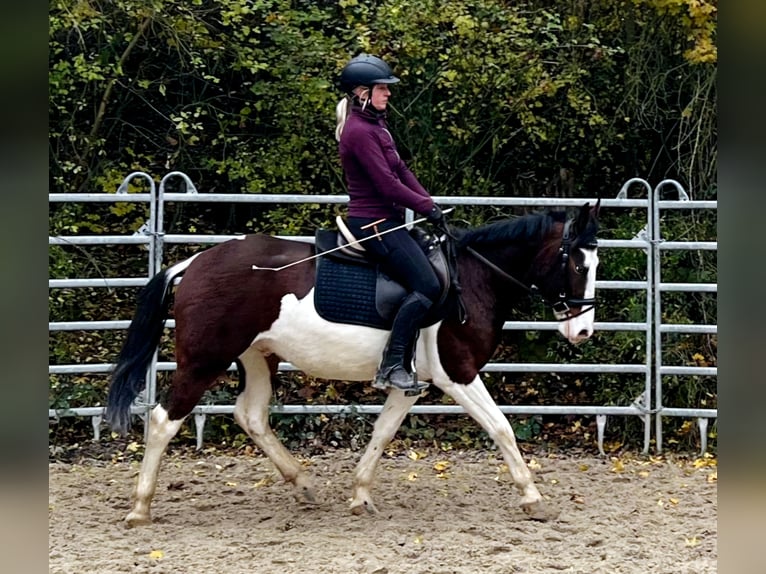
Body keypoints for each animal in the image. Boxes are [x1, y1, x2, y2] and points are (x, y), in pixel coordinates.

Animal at [106, 201, 600, 528]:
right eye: (578, 264)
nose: (582, 331)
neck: (472, 279)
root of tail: (193, 263)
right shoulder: (456, 373)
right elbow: (502, 428)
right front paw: (533, 497)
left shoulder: (410, 382)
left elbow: (382, 432)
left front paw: (360, 495)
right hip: (204, 360)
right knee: (164, 420)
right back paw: (140, 507)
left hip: (257, 357)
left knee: (252, 416)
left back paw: (303, 484)